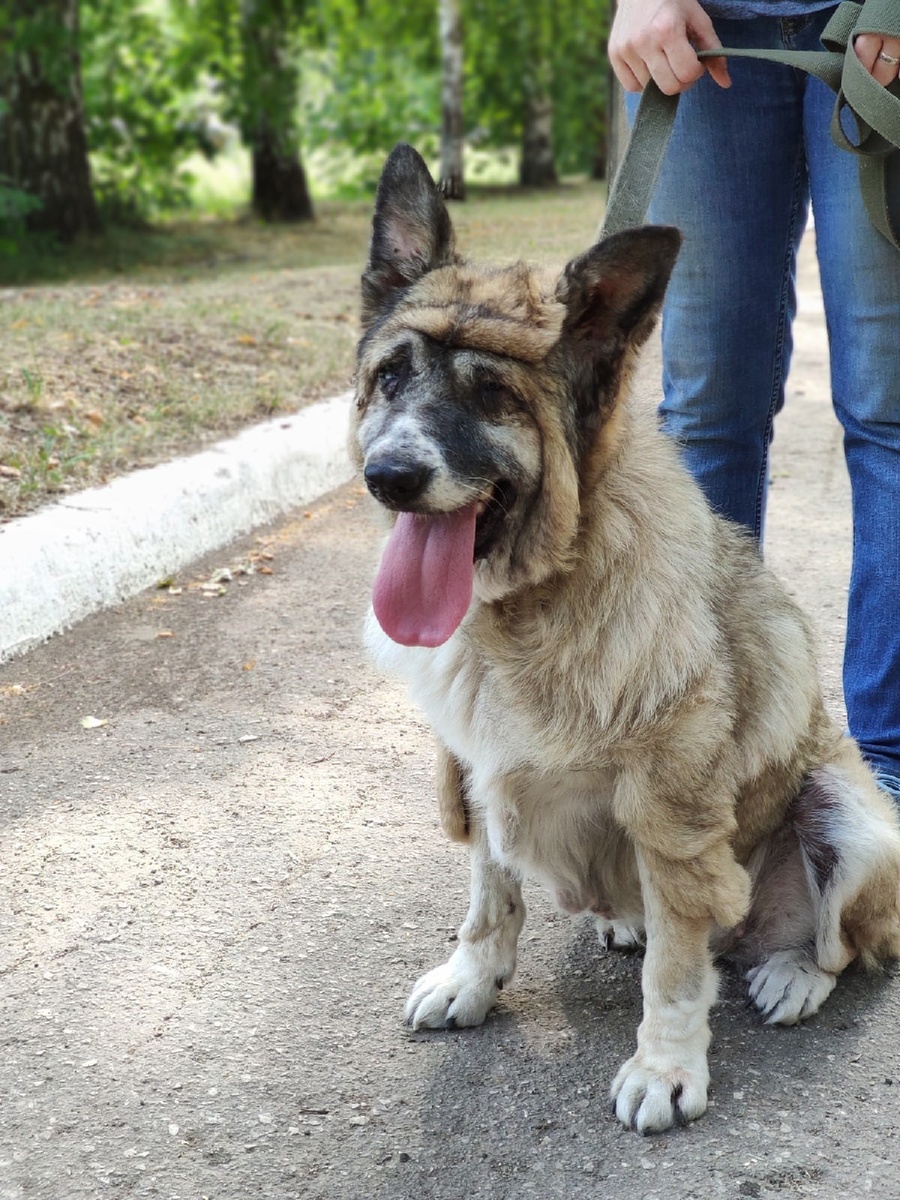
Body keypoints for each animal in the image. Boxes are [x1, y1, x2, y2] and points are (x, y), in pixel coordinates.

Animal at [348, 142, 900, 1132]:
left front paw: (666, 1066)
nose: (390, 476)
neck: (532, 599)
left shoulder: (671, 813)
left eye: (495, 394)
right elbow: (489, 897)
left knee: (844, 945)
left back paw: (794, 970)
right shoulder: (478, 768)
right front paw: (472, 979)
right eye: (393, 376)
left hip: (854, 817)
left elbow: (676, 970)